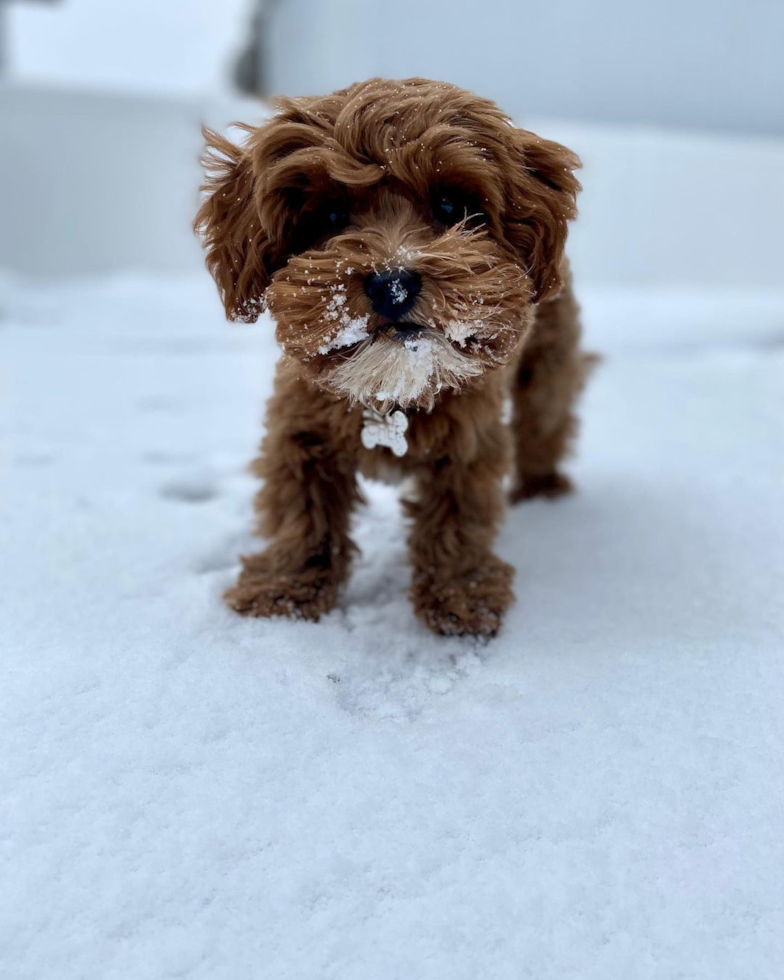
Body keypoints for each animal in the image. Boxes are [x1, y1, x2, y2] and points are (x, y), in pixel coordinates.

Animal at [194, 76, 588, 636]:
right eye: (331, 216)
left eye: (449, 207)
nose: (393, 282)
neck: (391, 391)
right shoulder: (298, 424)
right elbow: (298, 506)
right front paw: (284, 591)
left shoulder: (471, 437)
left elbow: (459, 515)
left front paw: (461, 595)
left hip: (547, 369)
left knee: (545, 424)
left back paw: (544, 488)